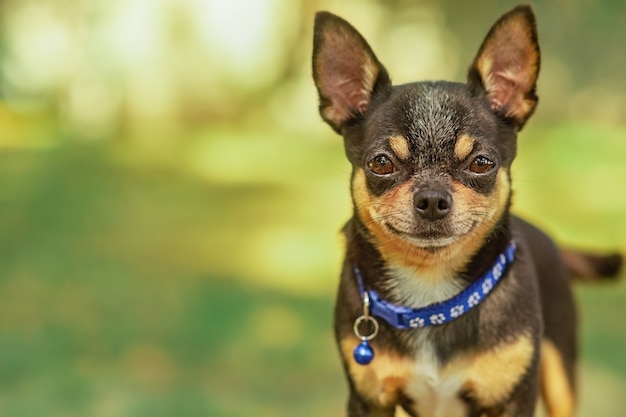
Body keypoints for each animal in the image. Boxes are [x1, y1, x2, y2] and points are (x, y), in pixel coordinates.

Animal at [312, 4, 620, 416]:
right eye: (381, 163)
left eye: (481, 163)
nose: (431, 199)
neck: (431, 294)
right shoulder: (369, 400)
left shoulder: (513, 400)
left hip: (560, 379)